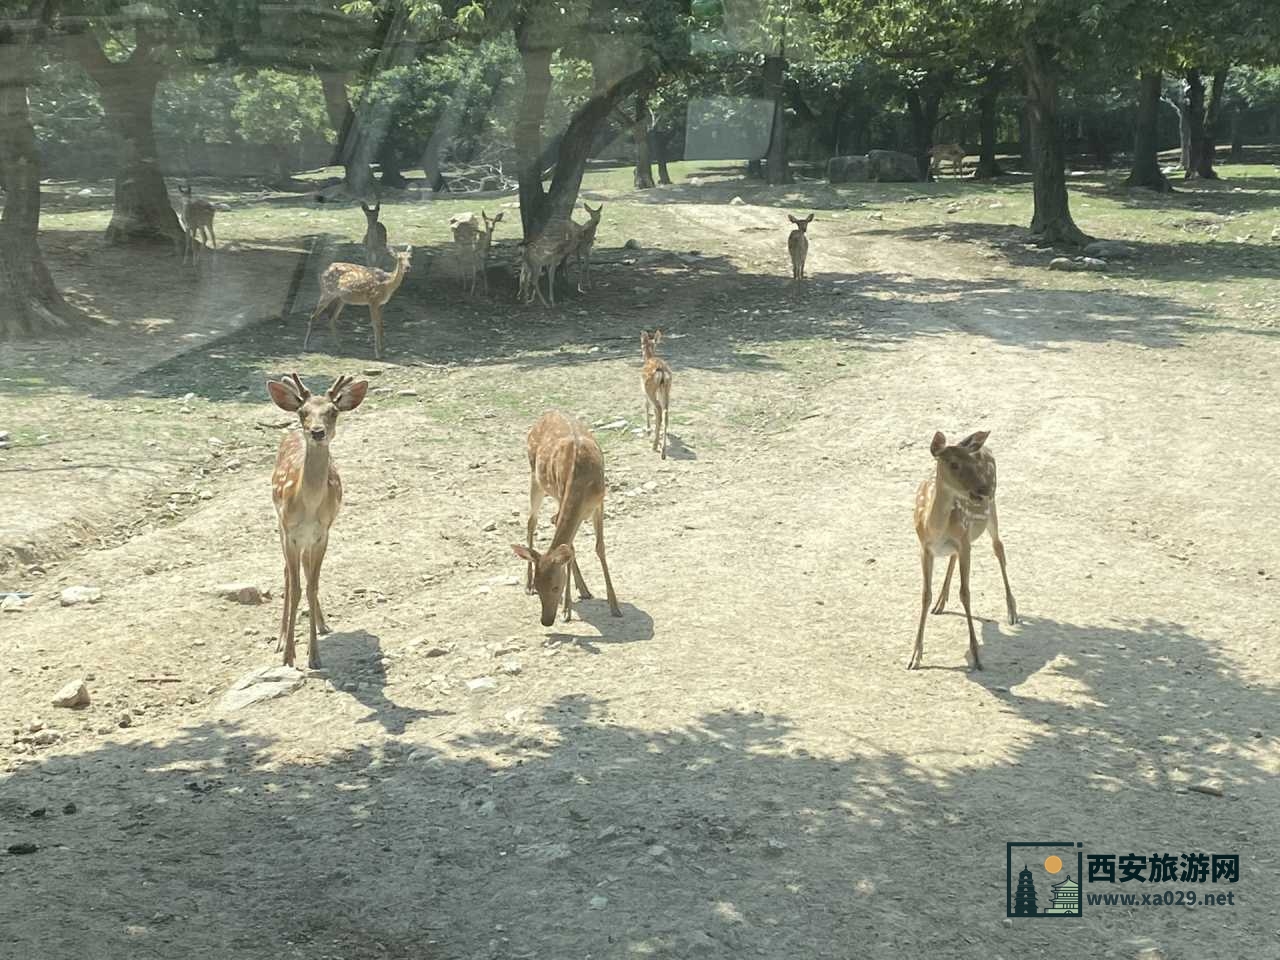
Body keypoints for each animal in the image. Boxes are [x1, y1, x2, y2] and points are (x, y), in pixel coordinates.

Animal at [267, 371, 368, 670]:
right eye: (303, 412)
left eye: (333, 411)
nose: (317, 431)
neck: (309, 507)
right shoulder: (290, 531)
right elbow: (297, 587)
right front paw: (289, 655)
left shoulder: (323, 533)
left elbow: (312, 587)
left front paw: (314, 655)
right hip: (280, 525)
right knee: (288, 574)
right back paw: (280, 640)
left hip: (309, 540)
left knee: (304, 571)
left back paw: (323, 625)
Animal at [514, 409, 624, 627]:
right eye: (540, 586)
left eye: (555, 586)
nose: (546, 620)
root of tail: (547, 413)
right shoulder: (560, 493)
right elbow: (570, 549)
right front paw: (566, 610)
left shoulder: (599, 503)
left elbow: (599, 547)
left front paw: (614, 606)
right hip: (536, 479)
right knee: (532, 522)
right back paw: (527, 585)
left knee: (547, 524)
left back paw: (584, 590)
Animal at [637, 330, 670, 458]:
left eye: (641, 345)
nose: (641, 354)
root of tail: (661, 370)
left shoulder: (643, 389)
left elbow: (646, 405)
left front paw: (648, 429)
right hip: (666, 388)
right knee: (665, 412)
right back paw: (663, 450)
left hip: (650, 389)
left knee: (659, 409)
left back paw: (655, 446)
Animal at [911, 432, 1018, 670]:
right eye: (953, 464)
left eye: (972, 462)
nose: (983, 489)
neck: (935, 529)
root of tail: (984, 447)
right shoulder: (924, 548)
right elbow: (924, 595)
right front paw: (915, 656)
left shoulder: (965, 542)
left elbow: (966, 593)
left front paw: (977, 656)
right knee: (954, 556)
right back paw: (940, 602)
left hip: (991, 510)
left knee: (999, 547)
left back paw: (1012, 611)